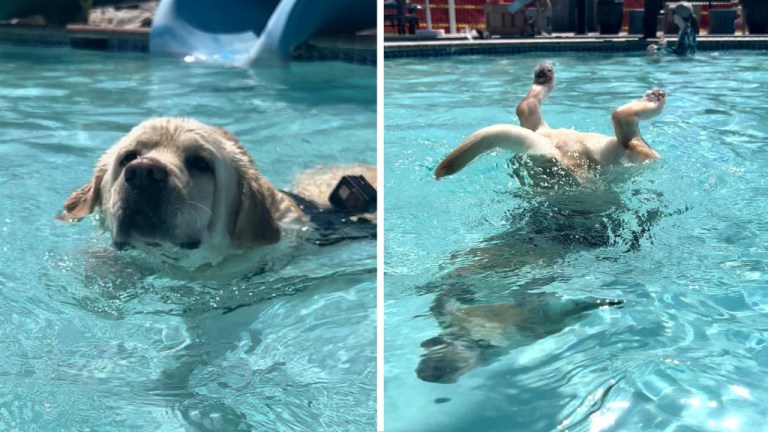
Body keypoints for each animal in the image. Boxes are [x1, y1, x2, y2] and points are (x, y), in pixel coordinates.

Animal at [436, 62, 664, 181]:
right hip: (633, 155)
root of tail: (550, 147)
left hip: (535, 125)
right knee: (623, 119)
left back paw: (543, 76)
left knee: (525, 105)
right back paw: (654, 99)